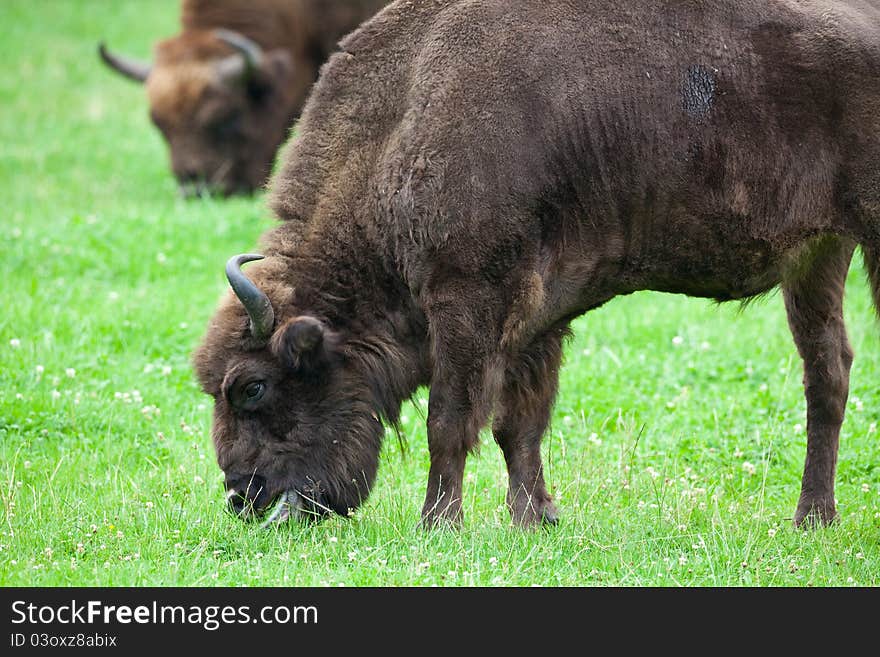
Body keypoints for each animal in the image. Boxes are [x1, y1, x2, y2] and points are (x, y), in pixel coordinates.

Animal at [196, 0, 880, 528]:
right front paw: (536, 517)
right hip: (820, 256)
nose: (243, 497)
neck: (406, 115)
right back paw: (812, 517)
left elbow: (451, 419)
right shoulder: (537, 316)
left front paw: (438, 522)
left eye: (251, 387)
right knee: (827, 373)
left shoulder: (466, 300)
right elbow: (518, 422)